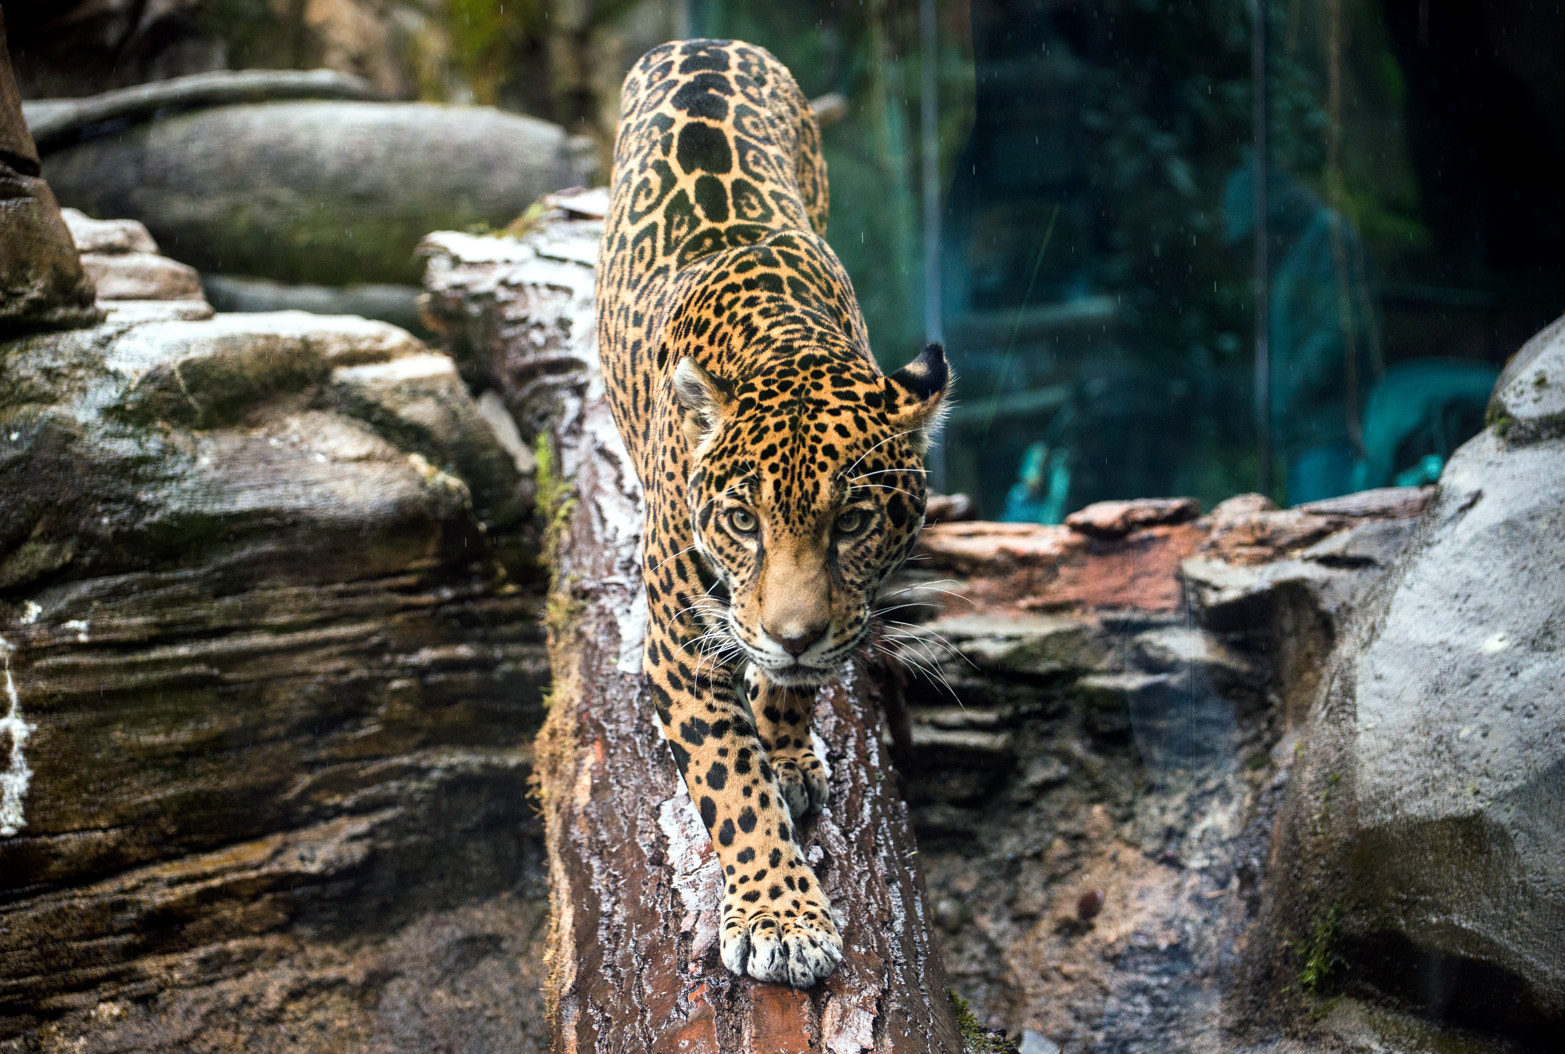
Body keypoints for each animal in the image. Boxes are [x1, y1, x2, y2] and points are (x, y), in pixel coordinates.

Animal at [596, 38, 950, 989]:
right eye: (742, 523)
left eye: (853, 523)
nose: (790, 635)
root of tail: (706, 42)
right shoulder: (679, 644)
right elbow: (729, 784)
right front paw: (779, 917)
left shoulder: (833, 615)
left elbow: (794, 690)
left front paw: (786, 743)